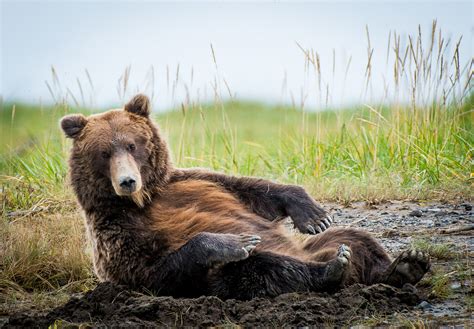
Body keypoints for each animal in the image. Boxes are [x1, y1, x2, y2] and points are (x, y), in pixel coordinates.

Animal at [59, 93, 430, 298]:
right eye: (104, 152)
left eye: (132, 145)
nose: (127, 181)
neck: (145, 199)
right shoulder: (115, 230)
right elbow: (151, 272)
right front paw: (234, 241)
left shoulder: (190, 182)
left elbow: (249, 190)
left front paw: (313, 214)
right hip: (228, 274)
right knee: (263, 268)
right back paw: (332, 270)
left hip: (319, 245)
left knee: (355, 237)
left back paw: (405, 264)